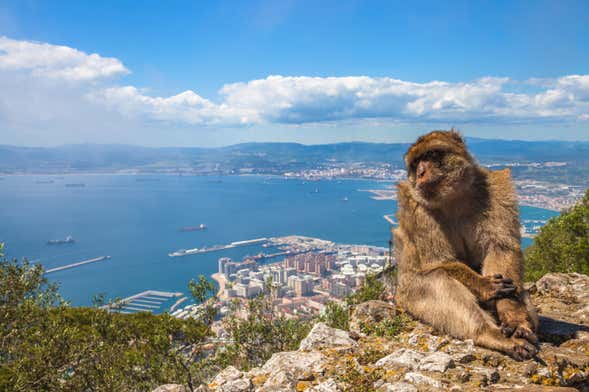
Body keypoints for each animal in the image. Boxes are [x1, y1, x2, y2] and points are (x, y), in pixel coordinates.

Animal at [396, 130, 536, 360]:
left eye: (432, 154)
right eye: (415, 163)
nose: (421, 172)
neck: (452, 197)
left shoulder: (497, 187)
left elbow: (501, 249)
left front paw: (514, 318)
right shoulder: (414, 205)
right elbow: (439, 261)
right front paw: (485, 286)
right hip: (409, 298)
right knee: (438, 279)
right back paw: (489, 334)